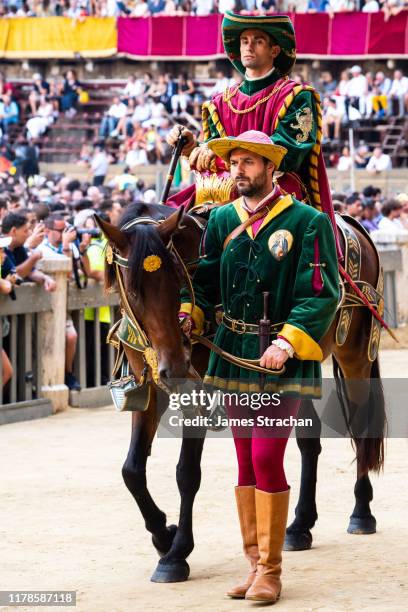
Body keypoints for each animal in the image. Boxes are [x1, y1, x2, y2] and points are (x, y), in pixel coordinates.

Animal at [95, 201, 386, 584]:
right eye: (133, 290)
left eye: (177, 282)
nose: (175, 366)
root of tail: (353, 224)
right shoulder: (152, 388)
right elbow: (131, 471)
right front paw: (163, 534)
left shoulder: (197, 390)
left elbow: (187, 473)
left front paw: (177, 553)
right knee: (309, 441)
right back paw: (299, 525)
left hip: (352, 352)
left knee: (362, 426)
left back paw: (361, 511)